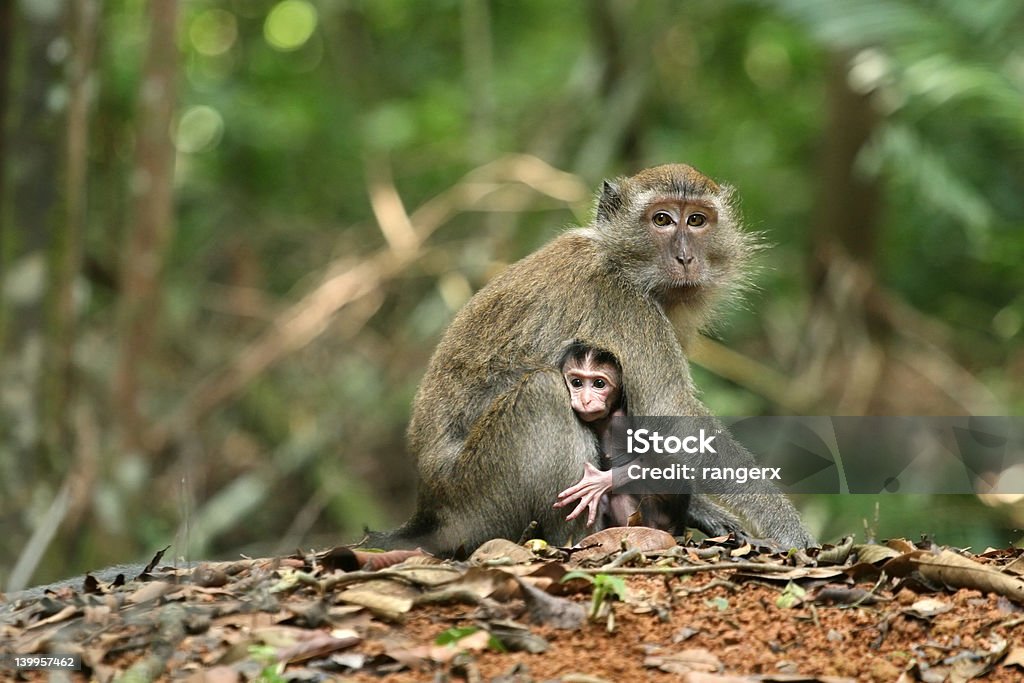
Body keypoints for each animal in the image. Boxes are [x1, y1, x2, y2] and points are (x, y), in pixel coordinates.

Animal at [376, 163, 815, 557]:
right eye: (662, 219)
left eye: (696, 220)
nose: (685, 257)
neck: (620, 259)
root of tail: (430, 510)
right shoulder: (625, 304)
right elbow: (670, 411)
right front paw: (787, 527)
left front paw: (702, 511)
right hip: (477, 499)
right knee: (541, 393)